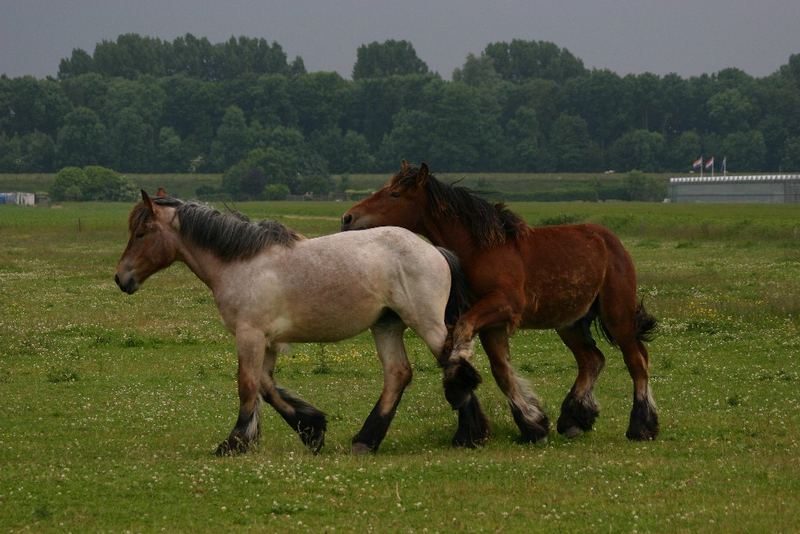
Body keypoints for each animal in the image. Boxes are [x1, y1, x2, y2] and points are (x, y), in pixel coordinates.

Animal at [340, 162, 660, 444]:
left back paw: (642, 427)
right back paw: (573, 420)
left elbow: (463, 331)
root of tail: (611, 241)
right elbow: (501, 372)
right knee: (592, 360)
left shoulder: (503, 307)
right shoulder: (492, 325)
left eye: (395, 194)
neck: (482, 250)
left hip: (616, 315)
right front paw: (533, 425)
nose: (348, 218)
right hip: (569, 323)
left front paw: (457, 385)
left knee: (637, 360)